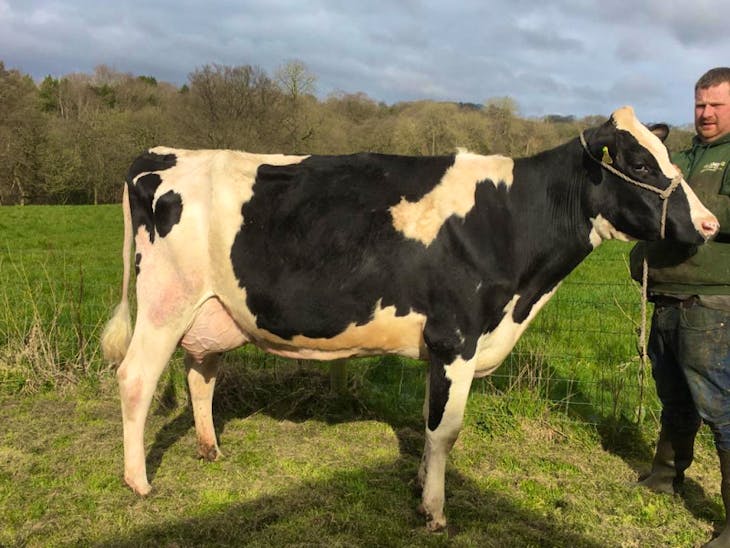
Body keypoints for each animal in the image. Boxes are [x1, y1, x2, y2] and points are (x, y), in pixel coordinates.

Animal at [101, 106, 719, 531]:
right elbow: (446, 430)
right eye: (639, 163)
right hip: (164, 302)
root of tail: (160, 154)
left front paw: (421, 486)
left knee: (200, 373)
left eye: (665, 158)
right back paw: (138, 481)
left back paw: (209, 449)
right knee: (136, 378)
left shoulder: (441, 348)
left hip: (210, 309)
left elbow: (428, 423)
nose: (711, 224)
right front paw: (436, 512)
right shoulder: (457, 337)